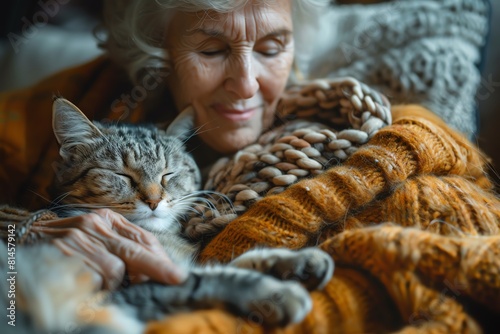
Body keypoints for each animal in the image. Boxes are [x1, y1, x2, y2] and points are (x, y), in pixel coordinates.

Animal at [1, 99, 336, 334]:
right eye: (122, 175)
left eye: (167, 174)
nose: (153, 201)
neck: (159, 238)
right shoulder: (124, 292)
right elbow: (207, 278)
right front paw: (275, 292)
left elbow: (228, 263)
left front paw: (298, 262)